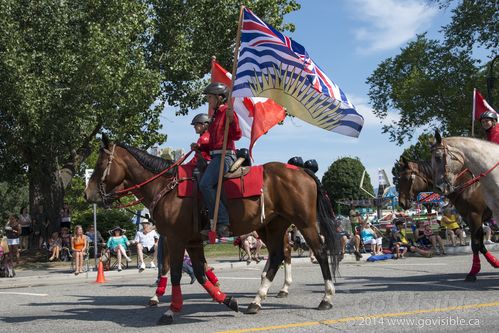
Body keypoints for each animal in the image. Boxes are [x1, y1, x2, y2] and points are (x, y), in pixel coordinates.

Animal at [85, 134, 340, 322]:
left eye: (100, 163)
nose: (88, 194)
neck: (166, 186)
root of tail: (302, 170)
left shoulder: (176, 238)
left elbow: (175, 271)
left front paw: (170, 309)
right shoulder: (190, 240)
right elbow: (197, 271)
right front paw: (226, 299)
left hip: (304, 222)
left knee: (319, 252)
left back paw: (326, 298)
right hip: (273, 226)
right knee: (278, 255)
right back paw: (257, 300)